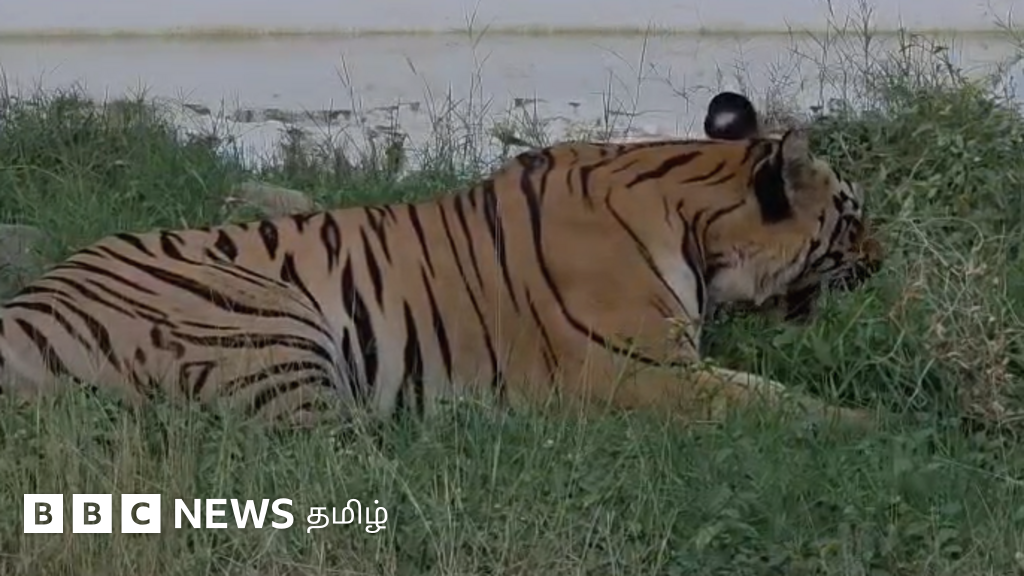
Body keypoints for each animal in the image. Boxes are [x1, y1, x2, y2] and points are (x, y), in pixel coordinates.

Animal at [0, 91, 883, 428]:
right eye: (853, 215)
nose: (880, 260)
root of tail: (31, 301)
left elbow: (764, 389)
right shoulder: (630, 372)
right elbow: (771, 402)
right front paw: (879, 429)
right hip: (271, 320)